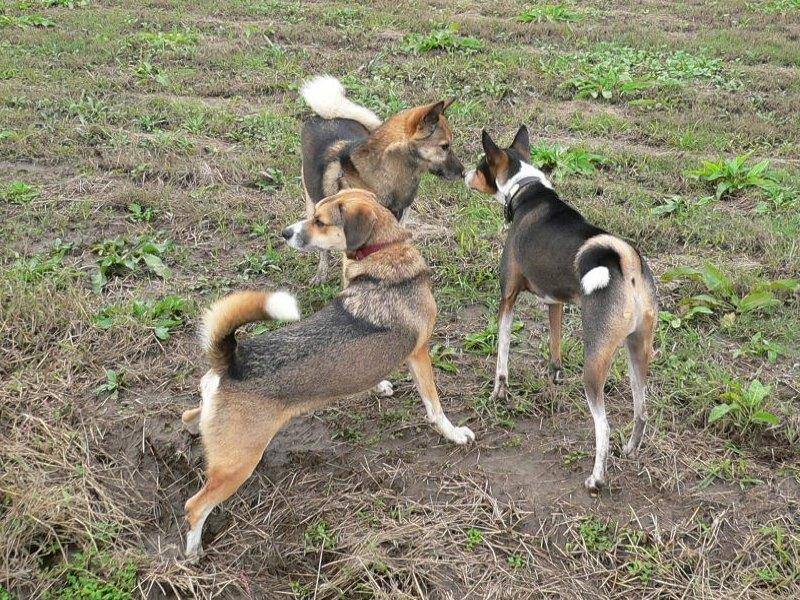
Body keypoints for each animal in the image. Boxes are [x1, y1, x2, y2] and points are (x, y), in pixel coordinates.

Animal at [182, 189, 475, 559]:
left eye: (319, 221)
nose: (285, 233)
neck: (386, 252)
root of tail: (233, 360)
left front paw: (379, 384)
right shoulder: (419, 353)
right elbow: (435, 408)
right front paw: (454, 433)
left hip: (221, 438)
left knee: (188, 418)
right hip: (239, 464)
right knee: (194, 506)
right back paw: (193, 552)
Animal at [299, 75, 465, 284]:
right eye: (444, 146)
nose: (463, 172)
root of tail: (326, 116)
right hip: (312, 203)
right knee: (322, 248)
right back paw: (321, 273)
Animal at [464, 126, 658, 493]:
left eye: (481, 166)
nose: (464, 174)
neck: (528, 190)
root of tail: (626, 262)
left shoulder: (507, 298)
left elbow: (502, 355)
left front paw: (499, 393)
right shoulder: (554, 302)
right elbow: (554, 345)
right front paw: (554, 375)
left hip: (595, 363)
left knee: (604, 427)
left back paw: (596, 478)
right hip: (637, 351)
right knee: (641, 411)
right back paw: (631, 451)